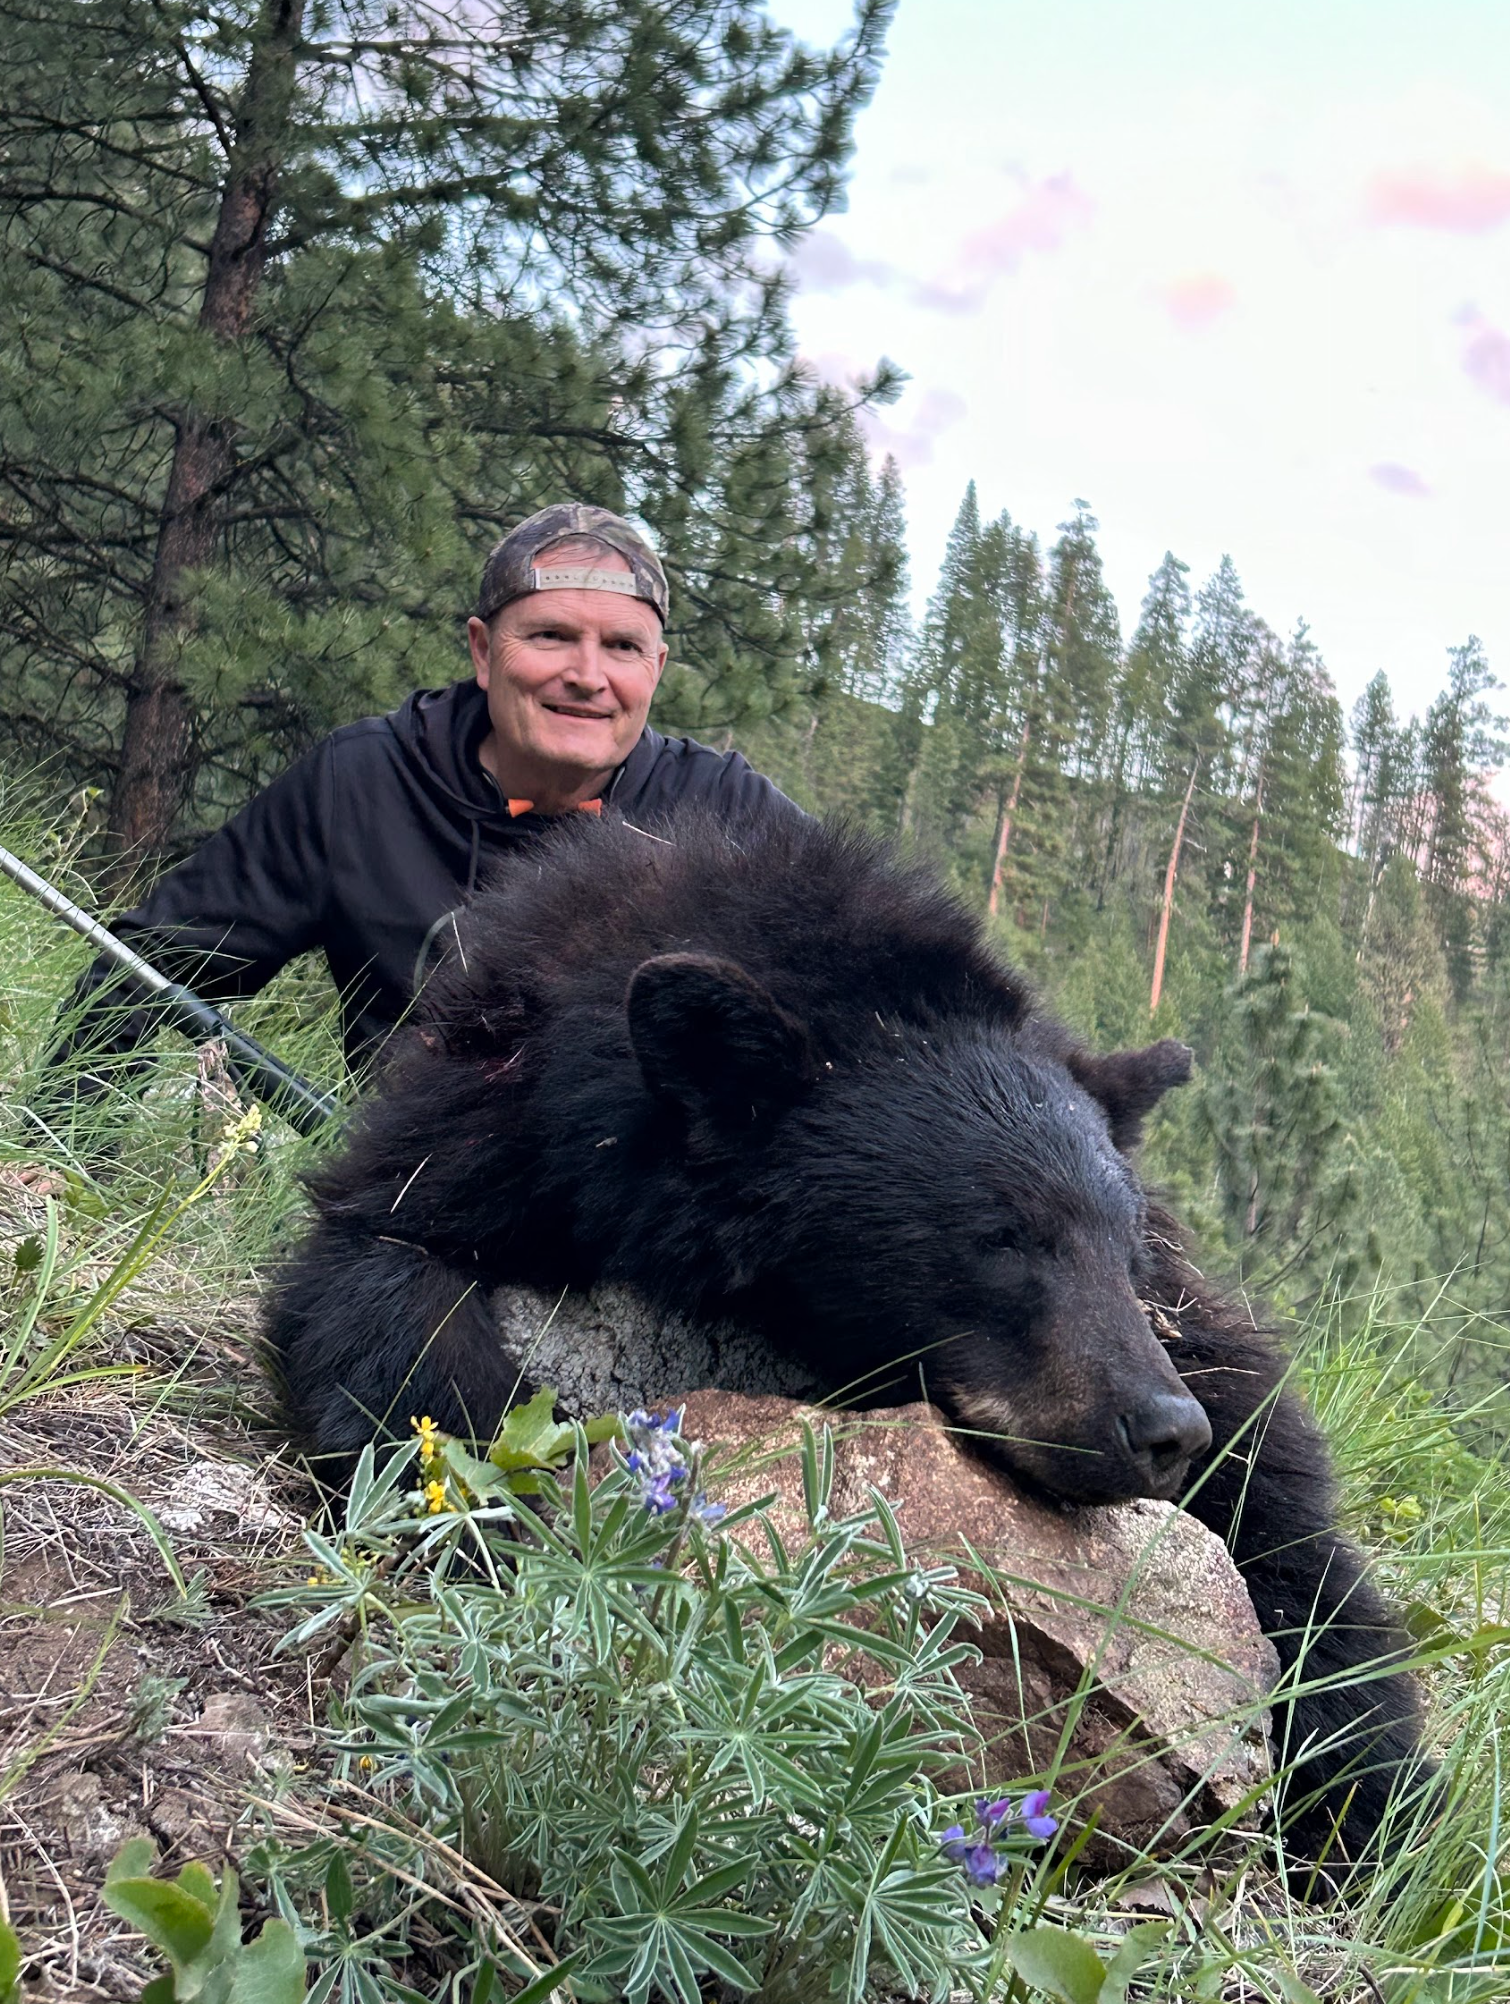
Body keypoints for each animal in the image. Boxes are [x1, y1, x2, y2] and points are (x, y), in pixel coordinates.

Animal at [268, 809, 1427, 1863]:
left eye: (1124, 1243)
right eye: (1001, 1237)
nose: (1160, 1430)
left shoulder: (1180, 1327)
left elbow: (1279, 1505)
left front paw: (1362, 1783)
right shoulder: (494, 1115)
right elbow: (378, 1270)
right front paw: (493, 1521)